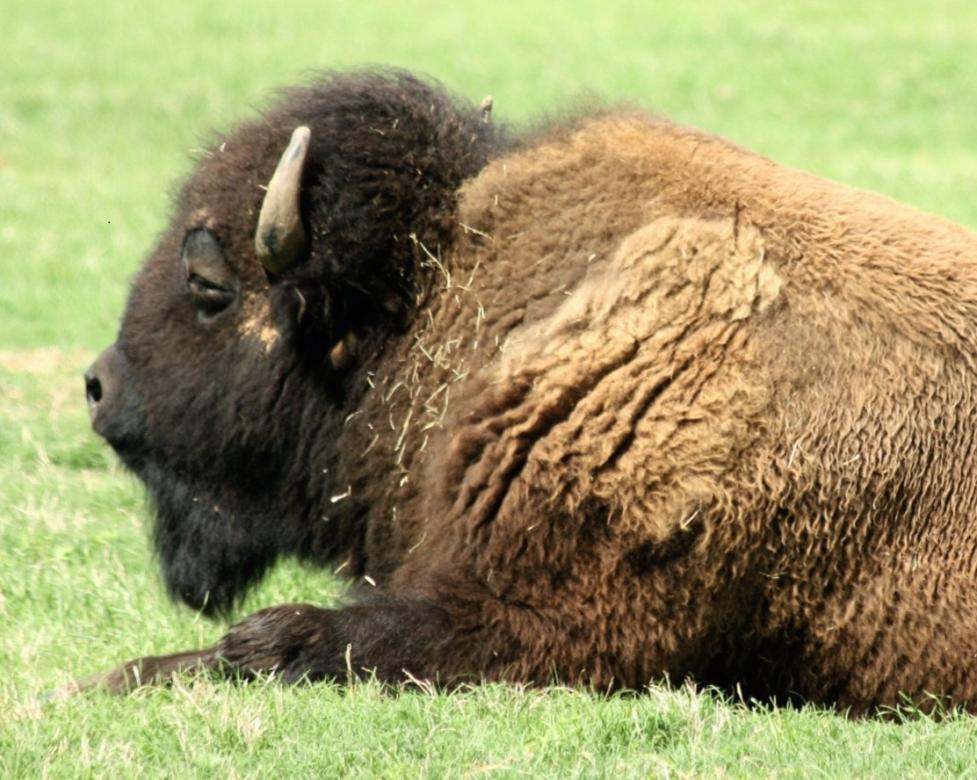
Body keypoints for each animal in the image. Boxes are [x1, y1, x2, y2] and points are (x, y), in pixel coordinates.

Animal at [76, 68, 977, 713]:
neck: (434, 296)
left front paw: (88, 683)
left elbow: (270, 641)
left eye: (206, 285)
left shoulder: (537, 619)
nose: (98, 386)